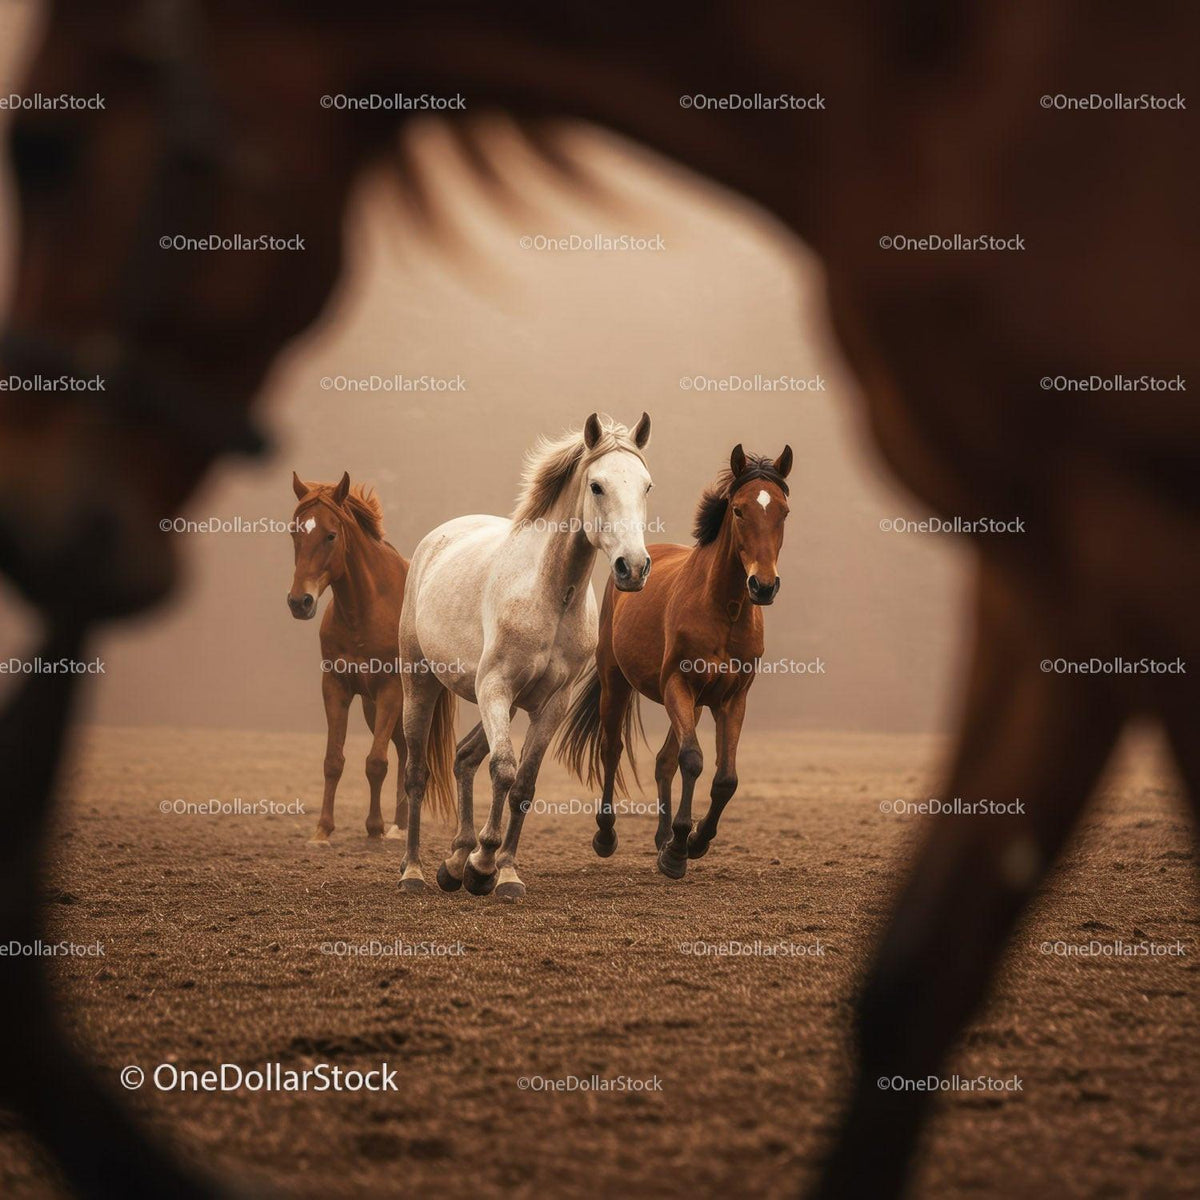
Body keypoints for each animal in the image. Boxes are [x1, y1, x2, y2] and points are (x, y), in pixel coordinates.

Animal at [287, 471, 456, 842]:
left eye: (331, 535)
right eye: (294, 532)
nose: (299, 602)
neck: (363, 610)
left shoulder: (390, 690)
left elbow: (376, 762)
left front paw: (374, 828)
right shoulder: (336, 687)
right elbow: (333, 761)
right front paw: (323, 830)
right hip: (373, 707)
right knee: (405, 750)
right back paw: (400, 824)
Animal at [397, 412, 653, 901]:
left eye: (647, 486)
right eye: (597, 485)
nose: (633, 567)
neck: (548, 594)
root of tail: (436, 540)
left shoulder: (550, 702)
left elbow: (524, 785)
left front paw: (504, 874)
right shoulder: (494, 687)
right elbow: (503, 770)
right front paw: (483, 865)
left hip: (508, 704)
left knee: (463, 757)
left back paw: (453, 863)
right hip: (420, 685)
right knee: (418, 773)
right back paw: (413, 872)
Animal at [558, 445, 791, 879]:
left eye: (783, 511)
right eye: (739, 510)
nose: (763, 586)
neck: (724, 608)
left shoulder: (731, 699)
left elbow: (724, 778)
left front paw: (691, 841)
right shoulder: (678, 686)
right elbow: (693, 760)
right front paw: (679, 848)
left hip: (694, 704)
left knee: (664, 761)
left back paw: (662, 836)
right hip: (618, 683)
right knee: (612, 748)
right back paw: (607, 835)